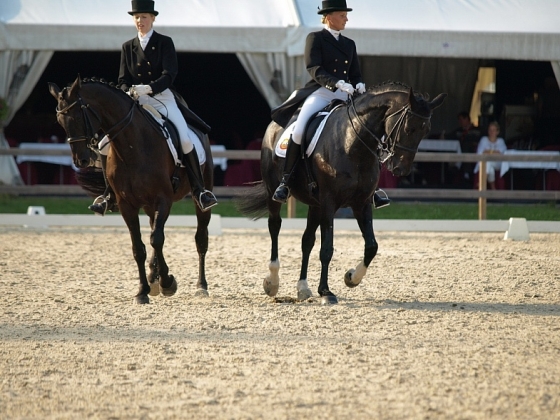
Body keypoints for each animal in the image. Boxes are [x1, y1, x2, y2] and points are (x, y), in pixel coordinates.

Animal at [48, 75, 214, 304]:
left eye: (79, 116)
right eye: (60, 121)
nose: (80, 160)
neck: (133, 146)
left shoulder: (163, 199)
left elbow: (156, 239)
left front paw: (167, 282)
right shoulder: (127, 205)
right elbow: (139, 248)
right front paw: (143, 290)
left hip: (201, 192)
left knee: (199, 238)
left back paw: (201, 286)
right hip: (149, 206)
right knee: (155, 232)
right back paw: (154, 278)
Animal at [237, 81, 446, 306]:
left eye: (426, 131)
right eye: (409, 127)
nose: (400, 169)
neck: (353, 144)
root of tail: (274, 126)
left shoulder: (362, 203)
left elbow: (371, 246)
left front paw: (351, 278)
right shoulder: (329, 203)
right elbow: (327, 249)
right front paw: (326, 292)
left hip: (314, 204)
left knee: (306, 241)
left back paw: (303, 288)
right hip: (274, 192)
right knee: (275, 226)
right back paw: (272, 282)